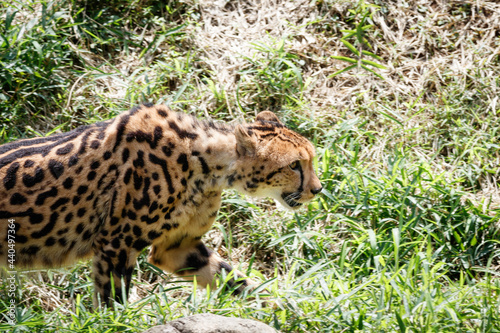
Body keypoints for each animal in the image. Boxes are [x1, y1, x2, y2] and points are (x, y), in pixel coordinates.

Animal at [0, 103, 320, 304]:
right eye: (294, 165)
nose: (317, 190)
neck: (204, 162)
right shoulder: (115, 244)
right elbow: (112, 303)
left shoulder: (178, 246)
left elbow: (233, 279)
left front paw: (285, 307)